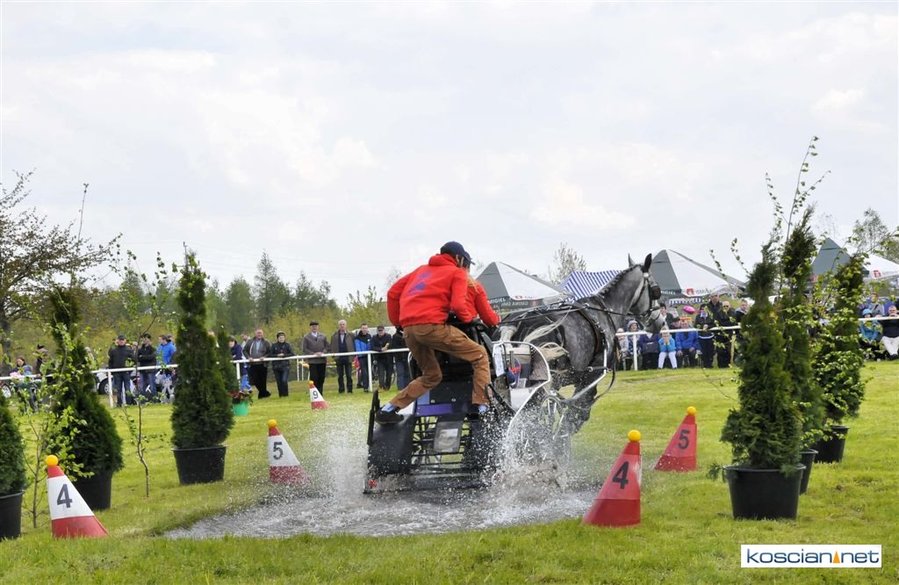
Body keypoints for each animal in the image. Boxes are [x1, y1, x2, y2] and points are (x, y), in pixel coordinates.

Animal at [495, 253, 666, 434]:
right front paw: (561, 438)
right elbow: (576, 413)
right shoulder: (590, 377)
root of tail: (516, 324)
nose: (660, 322)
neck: (605, 311)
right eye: (656, 290)